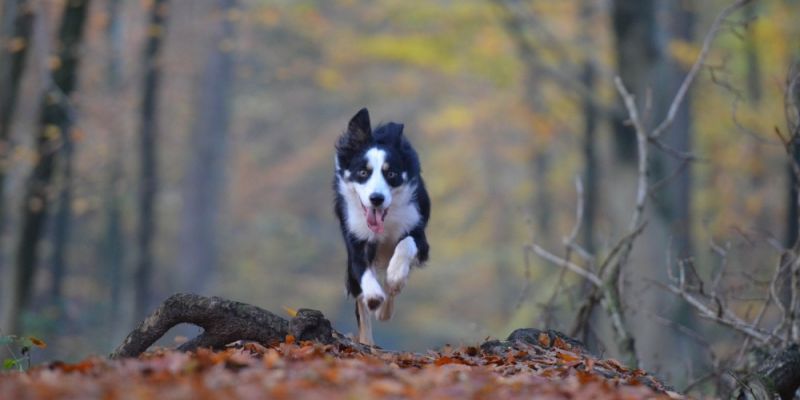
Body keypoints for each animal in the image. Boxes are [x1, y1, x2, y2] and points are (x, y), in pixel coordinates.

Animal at [332, 108, 432, 346]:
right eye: (362, 173)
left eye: (391, 174)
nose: (376, 199)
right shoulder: (355, 236)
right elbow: (361, 270)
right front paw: (374, 296)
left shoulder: (418, 232)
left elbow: (406, 244)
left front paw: (395, 276)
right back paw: (368, 338)